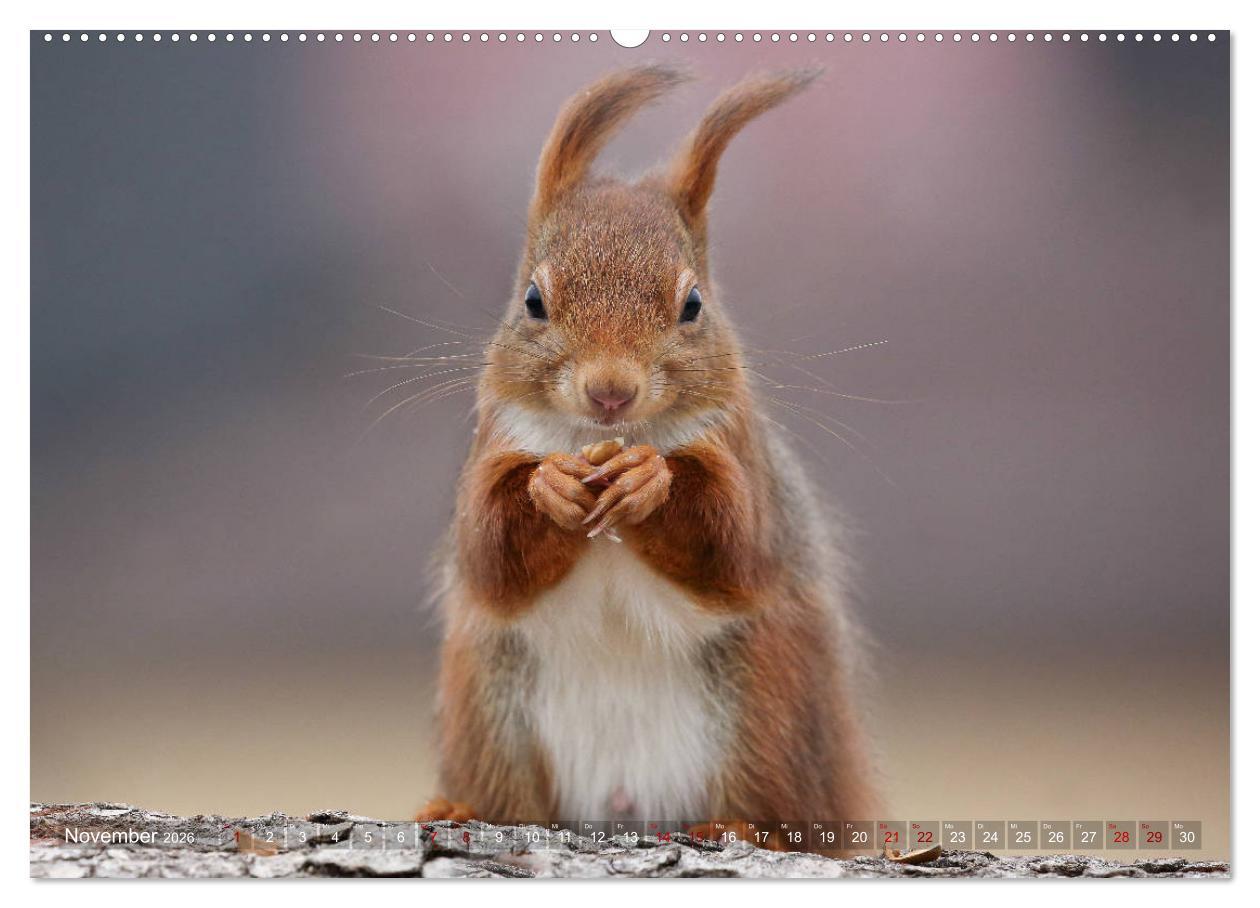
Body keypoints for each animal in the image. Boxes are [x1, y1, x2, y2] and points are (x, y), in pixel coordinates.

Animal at [421, 64, 880, 840]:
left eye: (693, 305)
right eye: (533, 300)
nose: (611, 391)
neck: (597, 439)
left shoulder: (743, 459)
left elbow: (734, 541)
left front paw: (649, 478)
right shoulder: (494, 446)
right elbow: (489, 554)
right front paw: (549, 486)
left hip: (765, 709)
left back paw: (742, 827)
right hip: (490, 704)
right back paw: (460, 806)